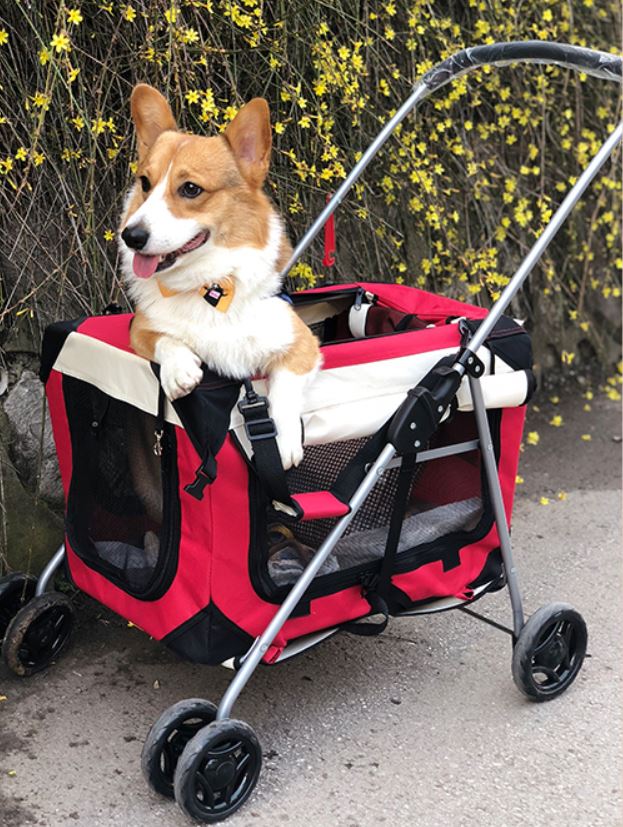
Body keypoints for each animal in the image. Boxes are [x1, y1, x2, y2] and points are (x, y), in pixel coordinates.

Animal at [119, 88, 322, 472]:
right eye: (145, 183)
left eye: (190, 189)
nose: (130, 236)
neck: (210, 288)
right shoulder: (139, 327)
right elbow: (165, 339)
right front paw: (180, 371)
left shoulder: (303, 344)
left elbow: (285, 389)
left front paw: (284, 445)